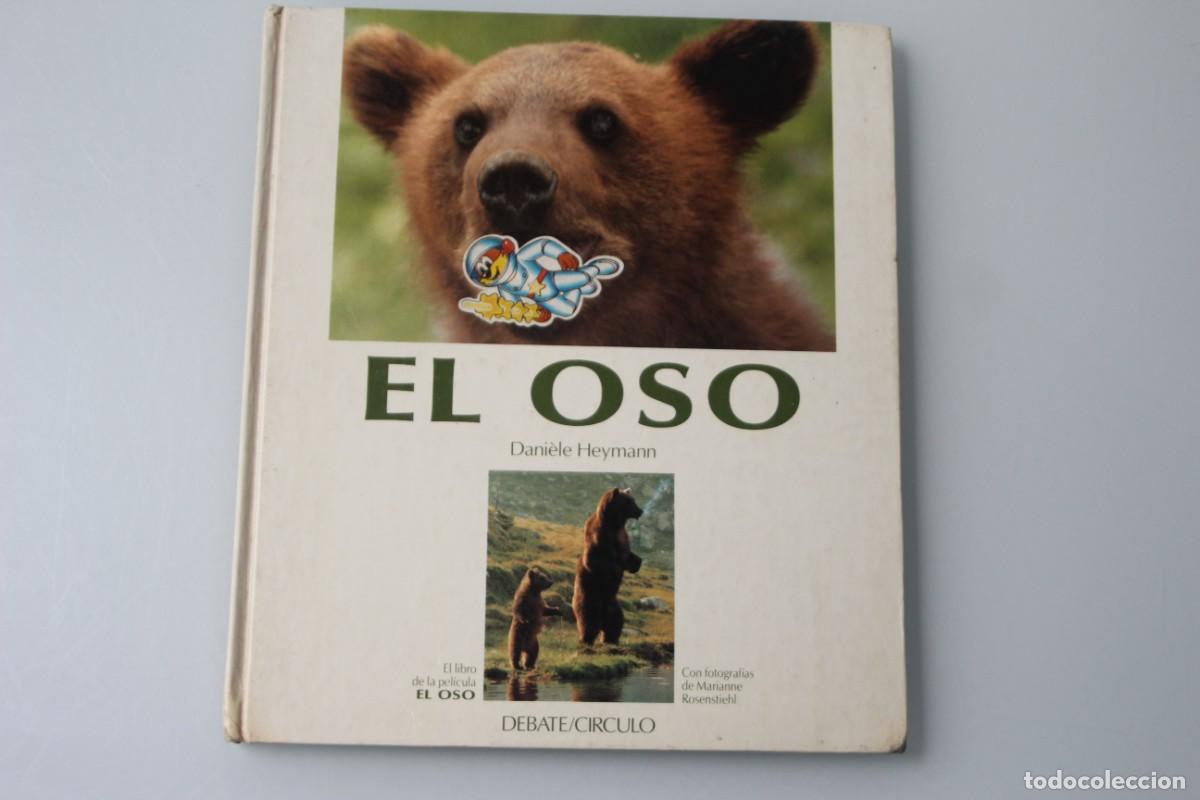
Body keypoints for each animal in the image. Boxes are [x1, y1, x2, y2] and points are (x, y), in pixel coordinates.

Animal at [572, 488, 644, 646]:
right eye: (629, 501)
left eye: (633, 499)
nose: (640, 511)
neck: (615, 524)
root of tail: (602, 621)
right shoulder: (600, 539)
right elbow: (597, 562)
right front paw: (615, 570)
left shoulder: (623, 537)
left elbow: (627, 556)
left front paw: (637, 562)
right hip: (590, 601)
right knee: (588, 624)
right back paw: (585, 640)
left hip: (614, 608)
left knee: (615, 624)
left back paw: (611, 640)